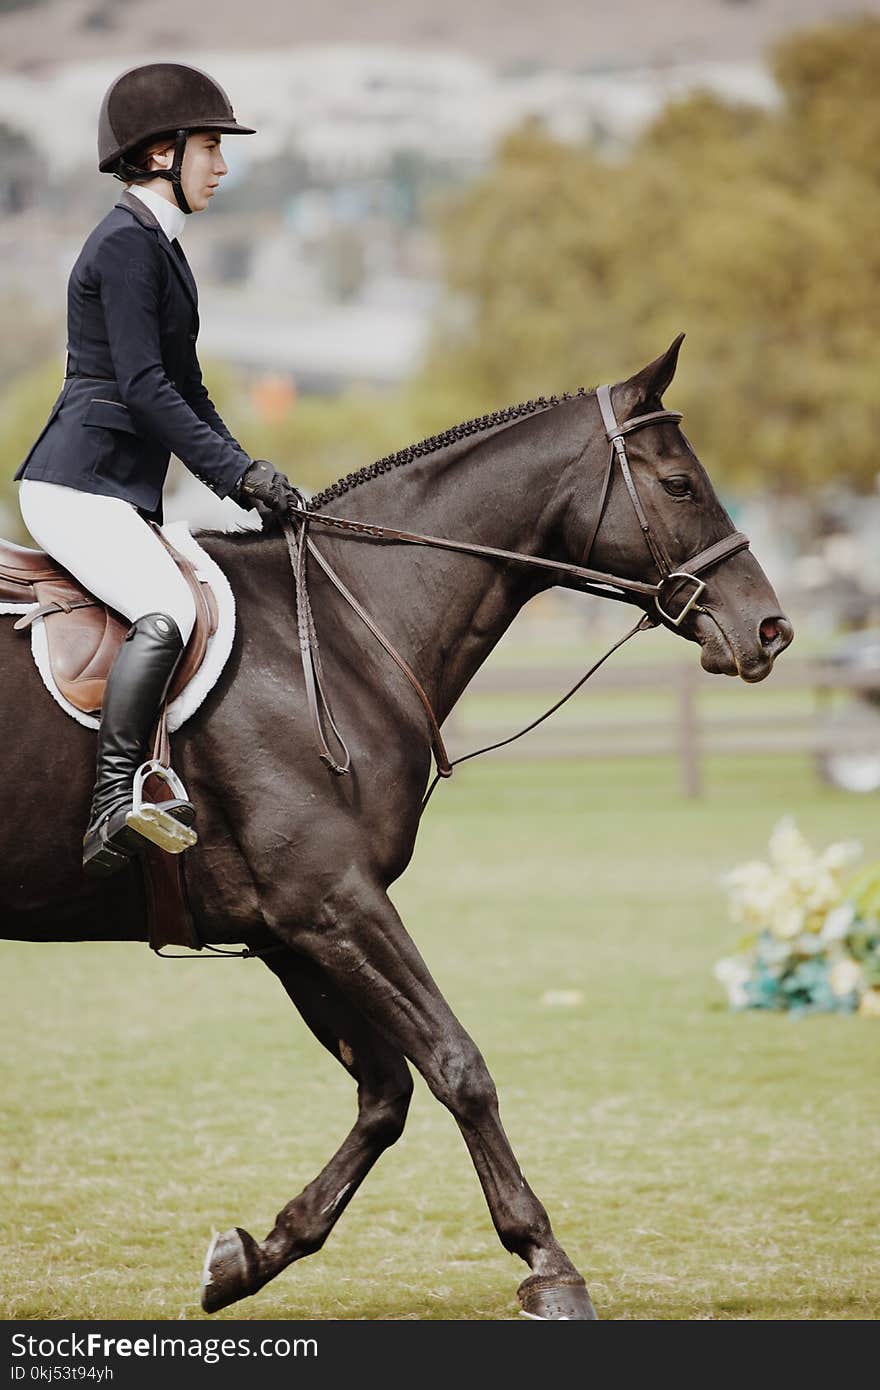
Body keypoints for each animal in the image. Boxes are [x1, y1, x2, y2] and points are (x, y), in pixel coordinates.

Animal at [0, 341, 789, 1317]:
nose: (771, 629)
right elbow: (458, 1066)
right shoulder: (332, 901)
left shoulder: (290, 929)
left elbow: (386, 1093)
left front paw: (249, 1255)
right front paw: (549, 1266)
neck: (339, 634)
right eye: (679, 484)